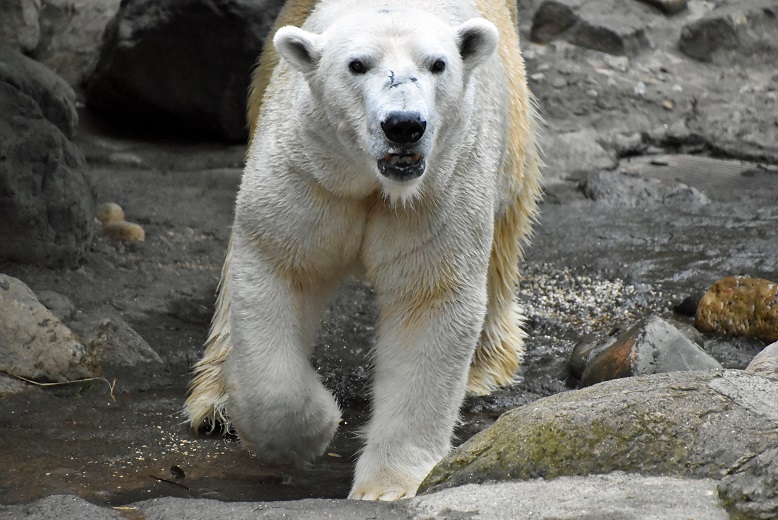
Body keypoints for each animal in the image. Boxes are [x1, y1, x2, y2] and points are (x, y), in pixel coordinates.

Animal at [186, 0, 544, 502]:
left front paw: (387, 486)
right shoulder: (310, 172)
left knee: (504, 232)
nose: (404, 126)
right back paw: (216, 401)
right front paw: (313, 429)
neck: (375, 182)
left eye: (437, 64)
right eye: (357, 65)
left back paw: (484, 368)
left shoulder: (437, 188)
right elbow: (280, 268)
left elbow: (429, 299)